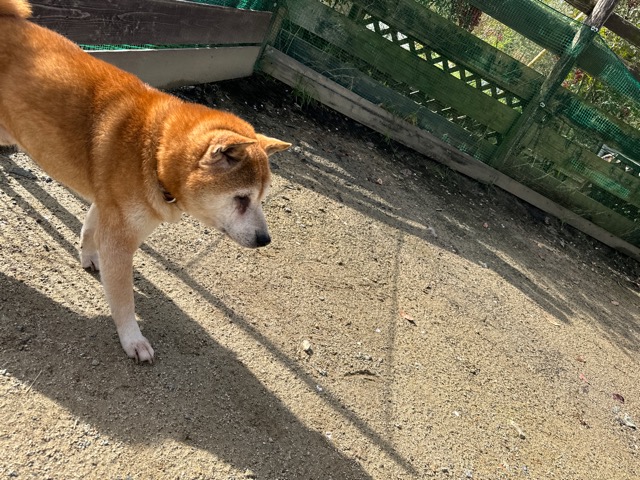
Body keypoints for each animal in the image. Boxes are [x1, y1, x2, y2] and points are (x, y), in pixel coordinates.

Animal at [0, 0, 290, 362]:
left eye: (261, 198)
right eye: (242, 198)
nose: (266, 240)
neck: (153, 150)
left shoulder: (106, 204)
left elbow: (89, 230)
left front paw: (89, 258)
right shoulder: (121, 237)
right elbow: (123, 299)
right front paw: (132, 339)